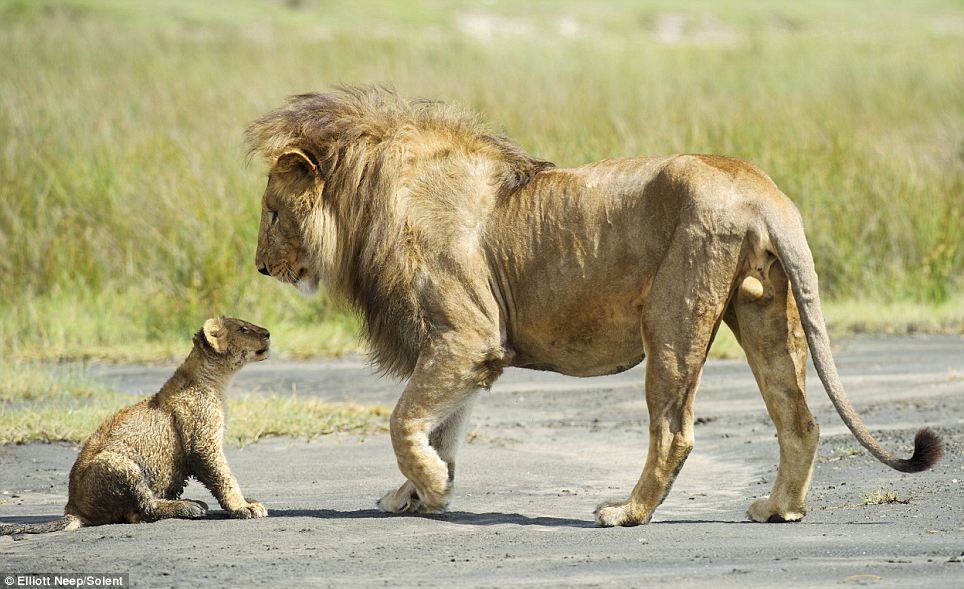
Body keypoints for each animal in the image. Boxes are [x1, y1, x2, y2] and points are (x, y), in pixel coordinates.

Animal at [247, 86, 940, 524]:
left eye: (272, 213)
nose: (258, 265)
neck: (370, 197)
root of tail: (760, 188)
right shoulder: (467, 352)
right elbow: (441, 426)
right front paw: (416, 493)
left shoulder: (467, 335)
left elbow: (403, 420)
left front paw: (431, 486)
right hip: (766, 314)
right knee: (799, 419)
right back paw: (779, 510)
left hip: (672, 319)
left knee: (675, 431)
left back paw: (626, 513)